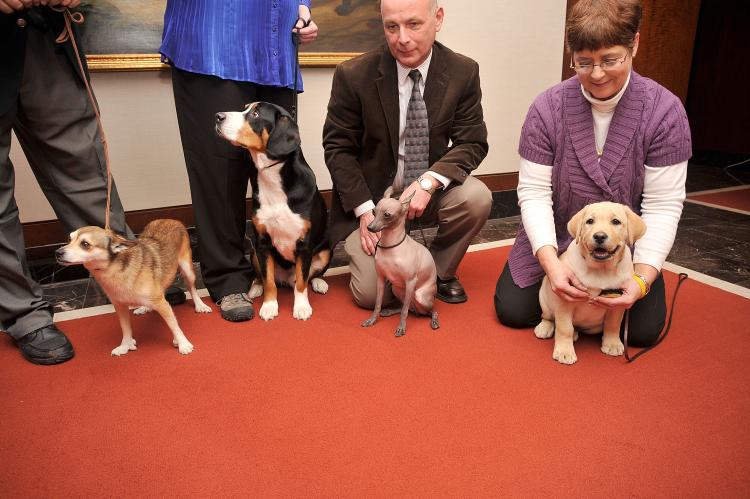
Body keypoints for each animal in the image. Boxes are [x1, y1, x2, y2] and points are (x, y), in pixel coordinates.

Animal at [56, 219, 212, 356]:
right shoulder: (120, 306)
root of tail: (171, 220)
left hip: (187, 270)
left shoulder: (162, 304)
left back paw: (200, 305)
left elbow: (174, 325)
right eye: (69, 239)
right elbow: (125, 329)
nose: (58, 252)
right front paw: (125, 345)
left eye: (85, 244)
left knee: (192, 288)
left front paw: (182, 343)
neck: (114, 270)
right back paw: (144, 308)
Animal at [212, 102, 328, 320]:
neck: (272, 178)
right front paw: (269, 306)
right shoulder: (263, 243)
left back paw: (319, 282)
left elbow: (302, 281)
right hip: (253, 252)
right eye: (245, 109)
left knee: (309, 276)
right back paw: (255, 288)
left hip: (326, 251)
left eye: (256, 114)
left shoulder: (304, 245)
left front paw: (301, 307)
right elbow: (269, 282)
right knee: (263, 277)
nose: (218, 116)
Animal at [360, 187, 438, 336]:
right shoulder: (380, 278)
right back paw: (390, 311)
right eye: (373, 212)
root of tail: (418, 310)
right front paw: (372, 320)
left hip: (419, 296)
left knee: (430, 310)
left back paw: (434, 320)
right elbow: (378, 304)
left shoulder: (410, 282)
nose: (369, 228)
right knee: (406, 307)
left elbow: (404, 312)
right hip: (396, 289)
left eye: (387, 215)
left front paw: (401, 327)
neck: (390, 247)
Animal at [536, 201, 648, 366]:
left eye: (616, 222)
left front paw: (612, 344)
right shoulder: (564, 300)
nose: (599, 236)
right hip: (544, 297)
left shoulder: (618, 304)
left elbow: (613, 325)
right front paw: (564, 352)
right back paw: (545, 328)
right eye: (590, 221)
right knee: (549, 317)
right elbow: (564, 328)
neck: (601, 270)